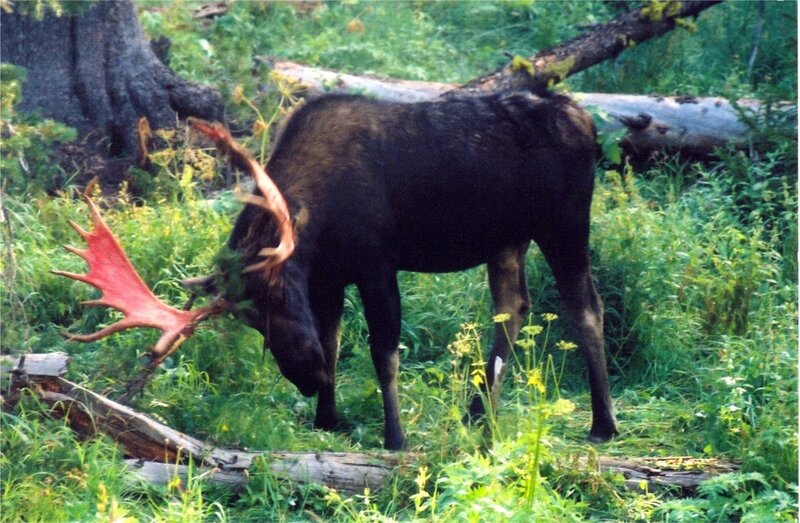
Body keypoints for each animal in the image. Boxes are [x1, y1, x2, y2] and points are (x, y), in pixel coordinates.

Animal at [56, 90, 618, 450]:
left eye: (278, 296)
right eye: (251, 322)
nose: (307, 378)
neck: (316, 228)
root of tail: (588, 122)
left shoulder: (376, 261)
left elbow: (383, 351)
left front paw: (395, 437)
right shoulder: (329, 277)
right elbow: (333, 340)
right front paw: (329, 417)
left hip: (565, 223)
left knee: (586, 307)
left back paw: (602, 423)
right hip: (506, 240)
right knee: (513, 309)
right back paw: (479, 415)